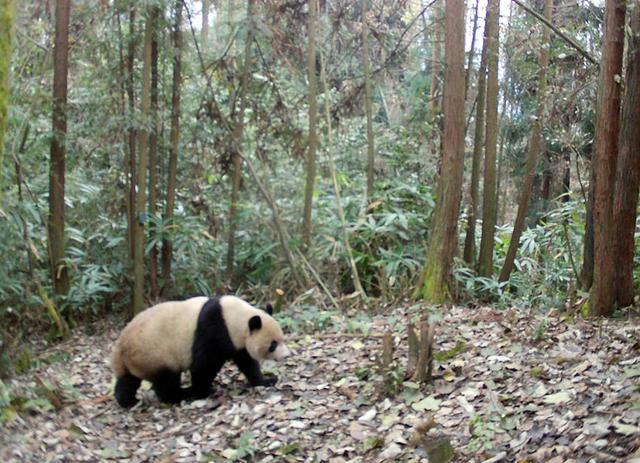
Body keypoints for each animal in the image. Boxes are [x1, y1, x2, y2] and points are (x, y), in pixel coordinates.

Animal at [111, 296, 288, 408]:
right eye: (273, 344)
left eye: (282, 338)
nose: (287, 355)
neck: (233, 317)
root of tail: (120, 348)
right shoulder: (214, 329)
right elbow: (204, 364)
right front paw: (203, 390)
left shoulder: (237, 341)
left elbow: (246, 362)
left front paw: (266, 380)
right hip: (155, 354)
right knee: (166, 381)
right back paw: (181, 394)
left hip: (136, 361)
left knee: (128, 380)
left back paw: (128, 401)